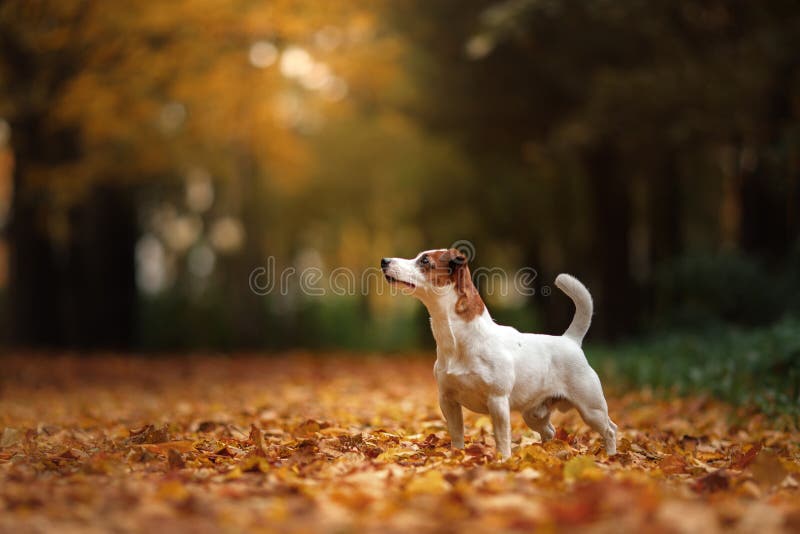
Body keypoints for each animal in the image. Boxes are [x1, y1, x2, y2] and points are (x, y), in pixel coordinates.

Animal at [382, 249, 620, 458]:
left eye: (425, 260)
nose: (384, 261)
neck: (459, 340)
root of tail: (570, 340)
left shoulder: (497, 401)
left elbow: (502, 438)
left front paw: (503, 461)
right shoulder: (448, 401)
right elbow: (457, 435)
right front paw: (457, 457)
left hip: (591, 408)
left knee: (610, 429)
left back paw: (611, 456)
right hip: (534, 414)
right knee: (550, 431)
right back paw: (547, 452)